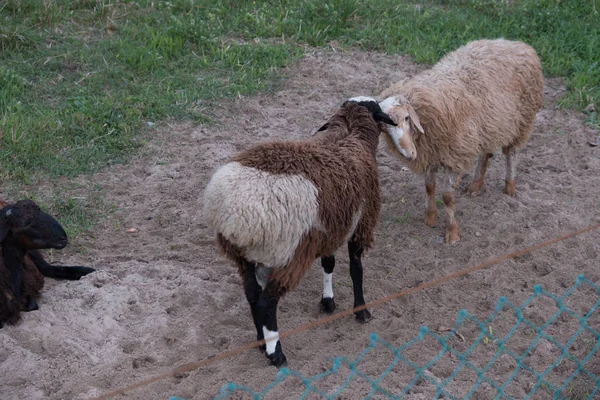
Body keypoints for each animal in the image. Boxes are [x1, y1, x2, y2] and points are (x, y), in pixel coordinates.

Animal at [203, 97, 398, 366]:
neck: (351, 133)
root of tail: (235, 214)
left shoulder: (329, 226)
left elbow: (329, 263)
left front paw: (328, 302)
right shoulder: (362, 223)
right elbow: (356, 269)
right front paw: (361, 311)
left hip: (243, 256)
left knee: (252, 295)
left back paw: (261, 341)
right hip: (290, 253)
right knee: (266, 303)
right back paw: (276, 353)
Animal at [380, 39, 544, 242]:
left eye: (406, 118)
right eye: (385, 127)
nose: (409, 154)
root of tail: (516, 44)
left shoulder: (454, 154)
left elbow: (447, 197)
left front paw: (452, 232)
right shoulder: (432, 153)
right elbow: (429, 187)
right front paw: (431, 217)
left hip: (520, 121)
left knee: (510, 153)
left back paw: (510, 187)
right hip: (488, 124)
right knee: (486, 151)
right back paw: (476, 184)